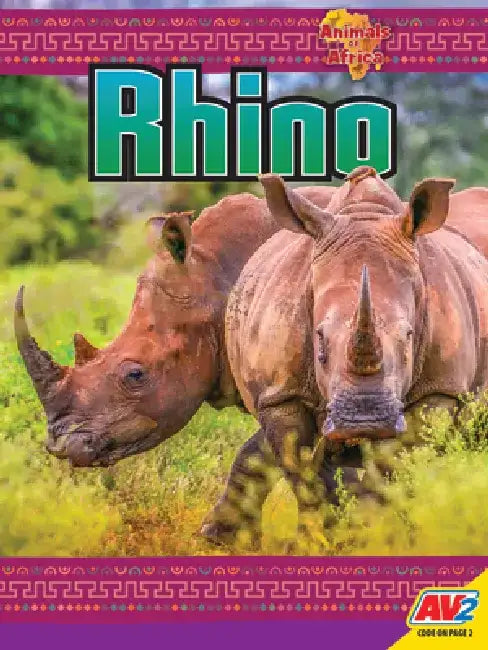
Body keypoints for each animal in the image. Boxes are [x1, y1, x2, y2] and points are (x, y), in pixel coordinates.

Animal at [201, 166, 488, 543]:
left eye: (409, 337)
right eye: (319, 340)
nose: (364, 420)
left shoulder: (440, 390)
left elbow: (391, 471)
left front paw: (368, 535)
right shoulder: (281, 394)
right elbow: (302, 470)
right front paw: (319, 540)